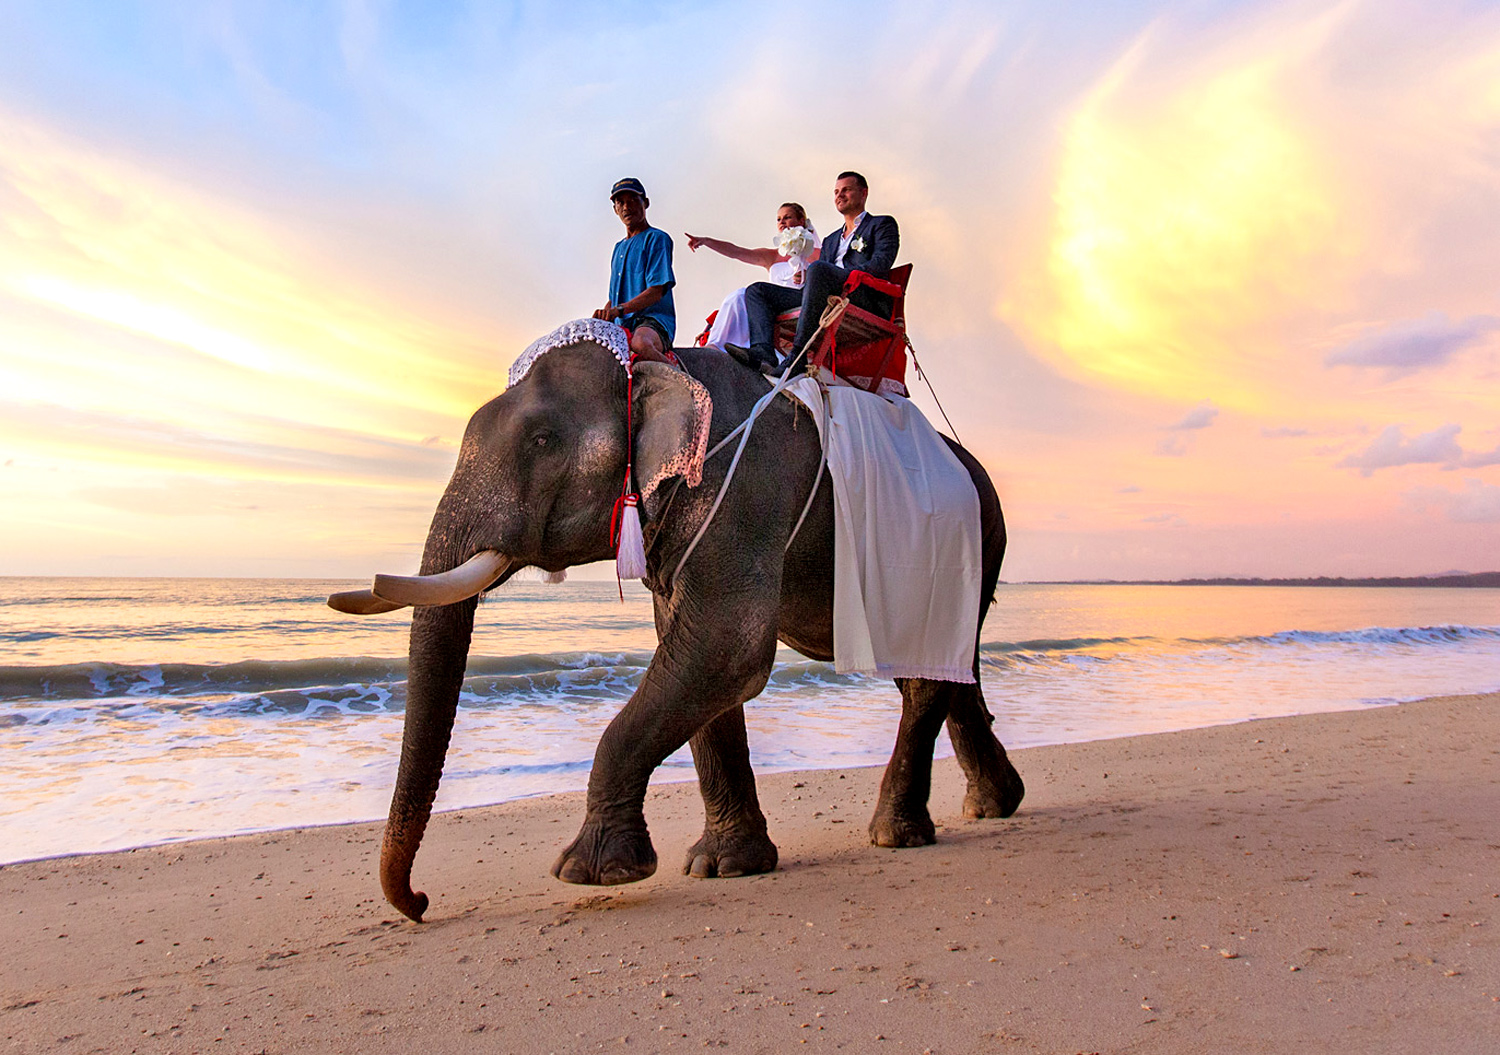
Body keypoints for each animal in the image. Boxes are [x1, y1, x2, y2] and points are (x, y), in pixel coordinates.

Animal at [331, 327, 1024, 922]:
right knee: (944, 669)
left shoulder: (743, 494)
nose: (421, 902)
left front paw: (592, 873)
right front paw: (725, 867)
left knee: (926, 679)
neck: (663, 365)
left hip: (971, 541)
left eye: (542, 441)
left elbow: (727, 648)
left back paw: (896, 835)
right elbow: (696, 658)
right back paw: (994, 804)